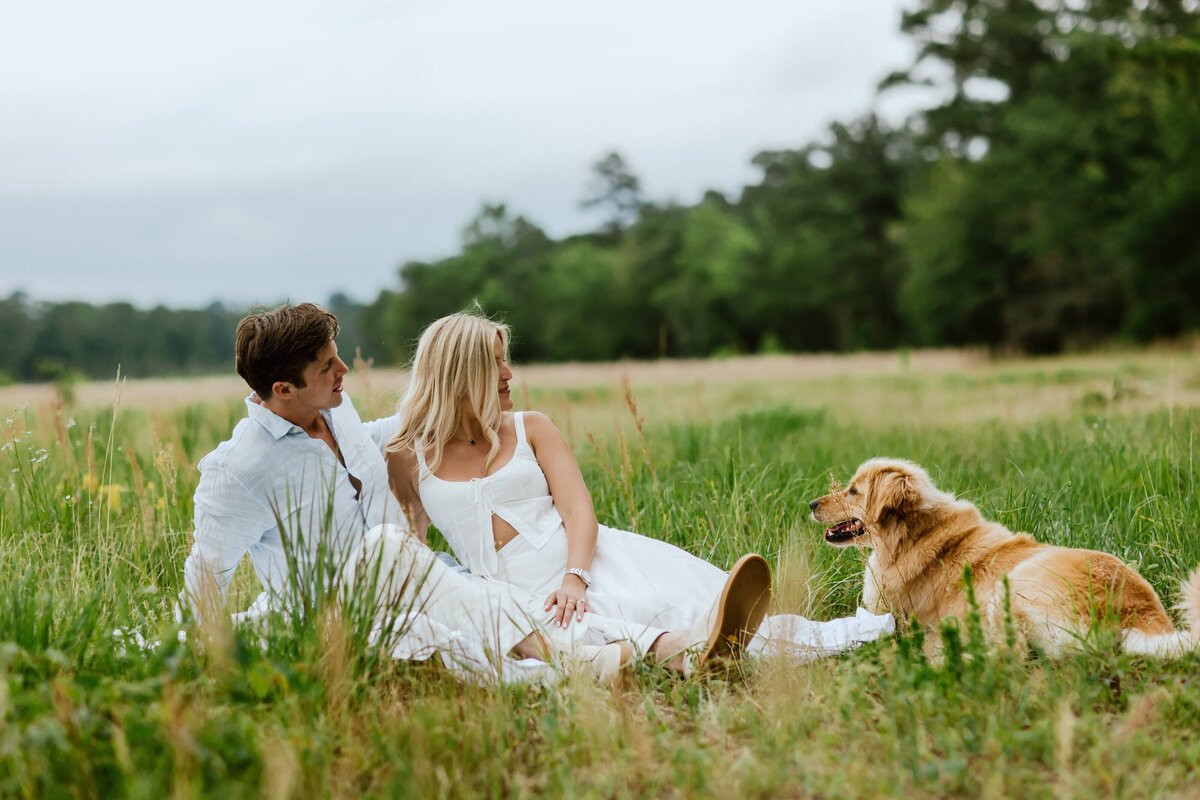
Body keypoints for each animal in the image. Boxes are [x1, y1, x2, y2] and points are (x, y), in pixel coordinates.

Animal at [806, 455, 1200, 657]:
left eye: (853, 491)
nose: (810, 504)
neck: (910, 534)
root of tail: (1137, 616)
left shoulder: (885, 613)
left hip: (1013, 586)